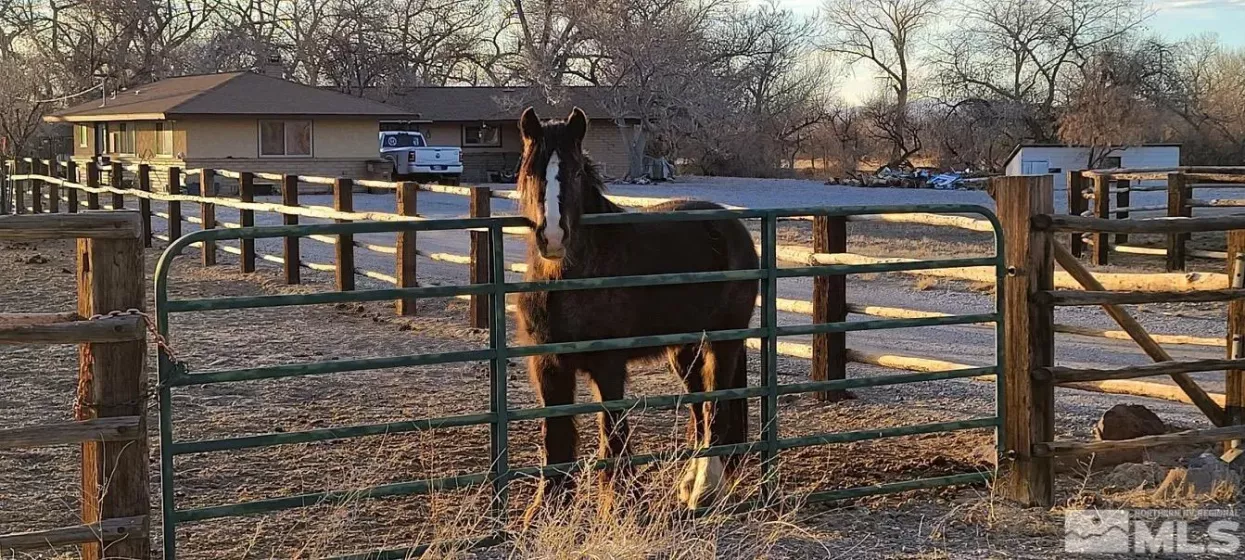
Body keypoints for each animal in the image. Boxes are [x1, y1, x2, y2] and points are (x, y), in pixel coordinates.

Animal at [512, 106, 756, 520]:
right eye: (531, 171)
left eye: (575, 173)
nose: (554, 237)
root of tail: (733, 227)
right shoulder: (548, 365)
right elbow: (555, 436)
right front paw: (546, 509)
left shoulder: (608, 364)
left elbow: (613, 431)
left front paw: (621, 502)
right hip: (685, 351)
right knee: (699, 411)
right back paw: (689, 485)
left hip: (723, 343)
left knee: (715, 409)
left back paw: (704, 490)